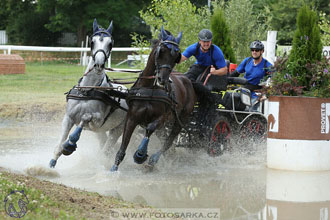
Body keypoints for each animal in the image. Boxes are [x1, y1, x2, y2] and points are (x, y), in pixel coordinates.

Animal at [49, 18, 127, 168]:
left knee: (106, 150)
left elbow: (85, 118)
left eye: (110, 43)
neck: (87, 90)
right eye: (92, 42)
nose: (99, 65)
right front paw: (49, 166)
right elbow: (58, 145)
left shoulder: (97, 121)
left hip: (117, 129)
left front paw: (70, 144)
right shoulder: (68, 118)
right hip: (101, 132)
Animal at [111, 26, 197, 172]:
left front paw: (140, 154)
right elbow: (123, 145)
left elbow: (150, 128)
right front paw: (113, 169)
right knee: (165, 140)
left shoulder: (162, 118)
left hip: (181, 119)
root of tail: (186, 80)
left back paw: (153, 160)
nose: (162, 79)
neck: (149, 88)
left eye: (176, 56)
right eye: (161, 52)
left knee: (168, 141)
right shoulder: (131, 117)